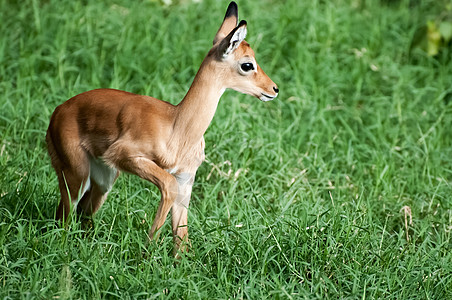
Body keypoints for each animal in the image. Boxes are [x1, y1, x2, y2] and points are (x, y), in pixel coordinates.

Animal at [46, 1, 278, 253]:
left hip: (104, 179)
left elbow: (182, 237)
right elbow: (167, 185)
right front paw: (146, 252)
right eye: (247, 64)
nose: (274, 89)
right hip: (76, 174)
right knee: (64, 217)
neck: (177, 127)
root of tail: (58, 111)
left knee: (83, 213)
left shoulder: (186, 179)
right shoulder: (129, 157)